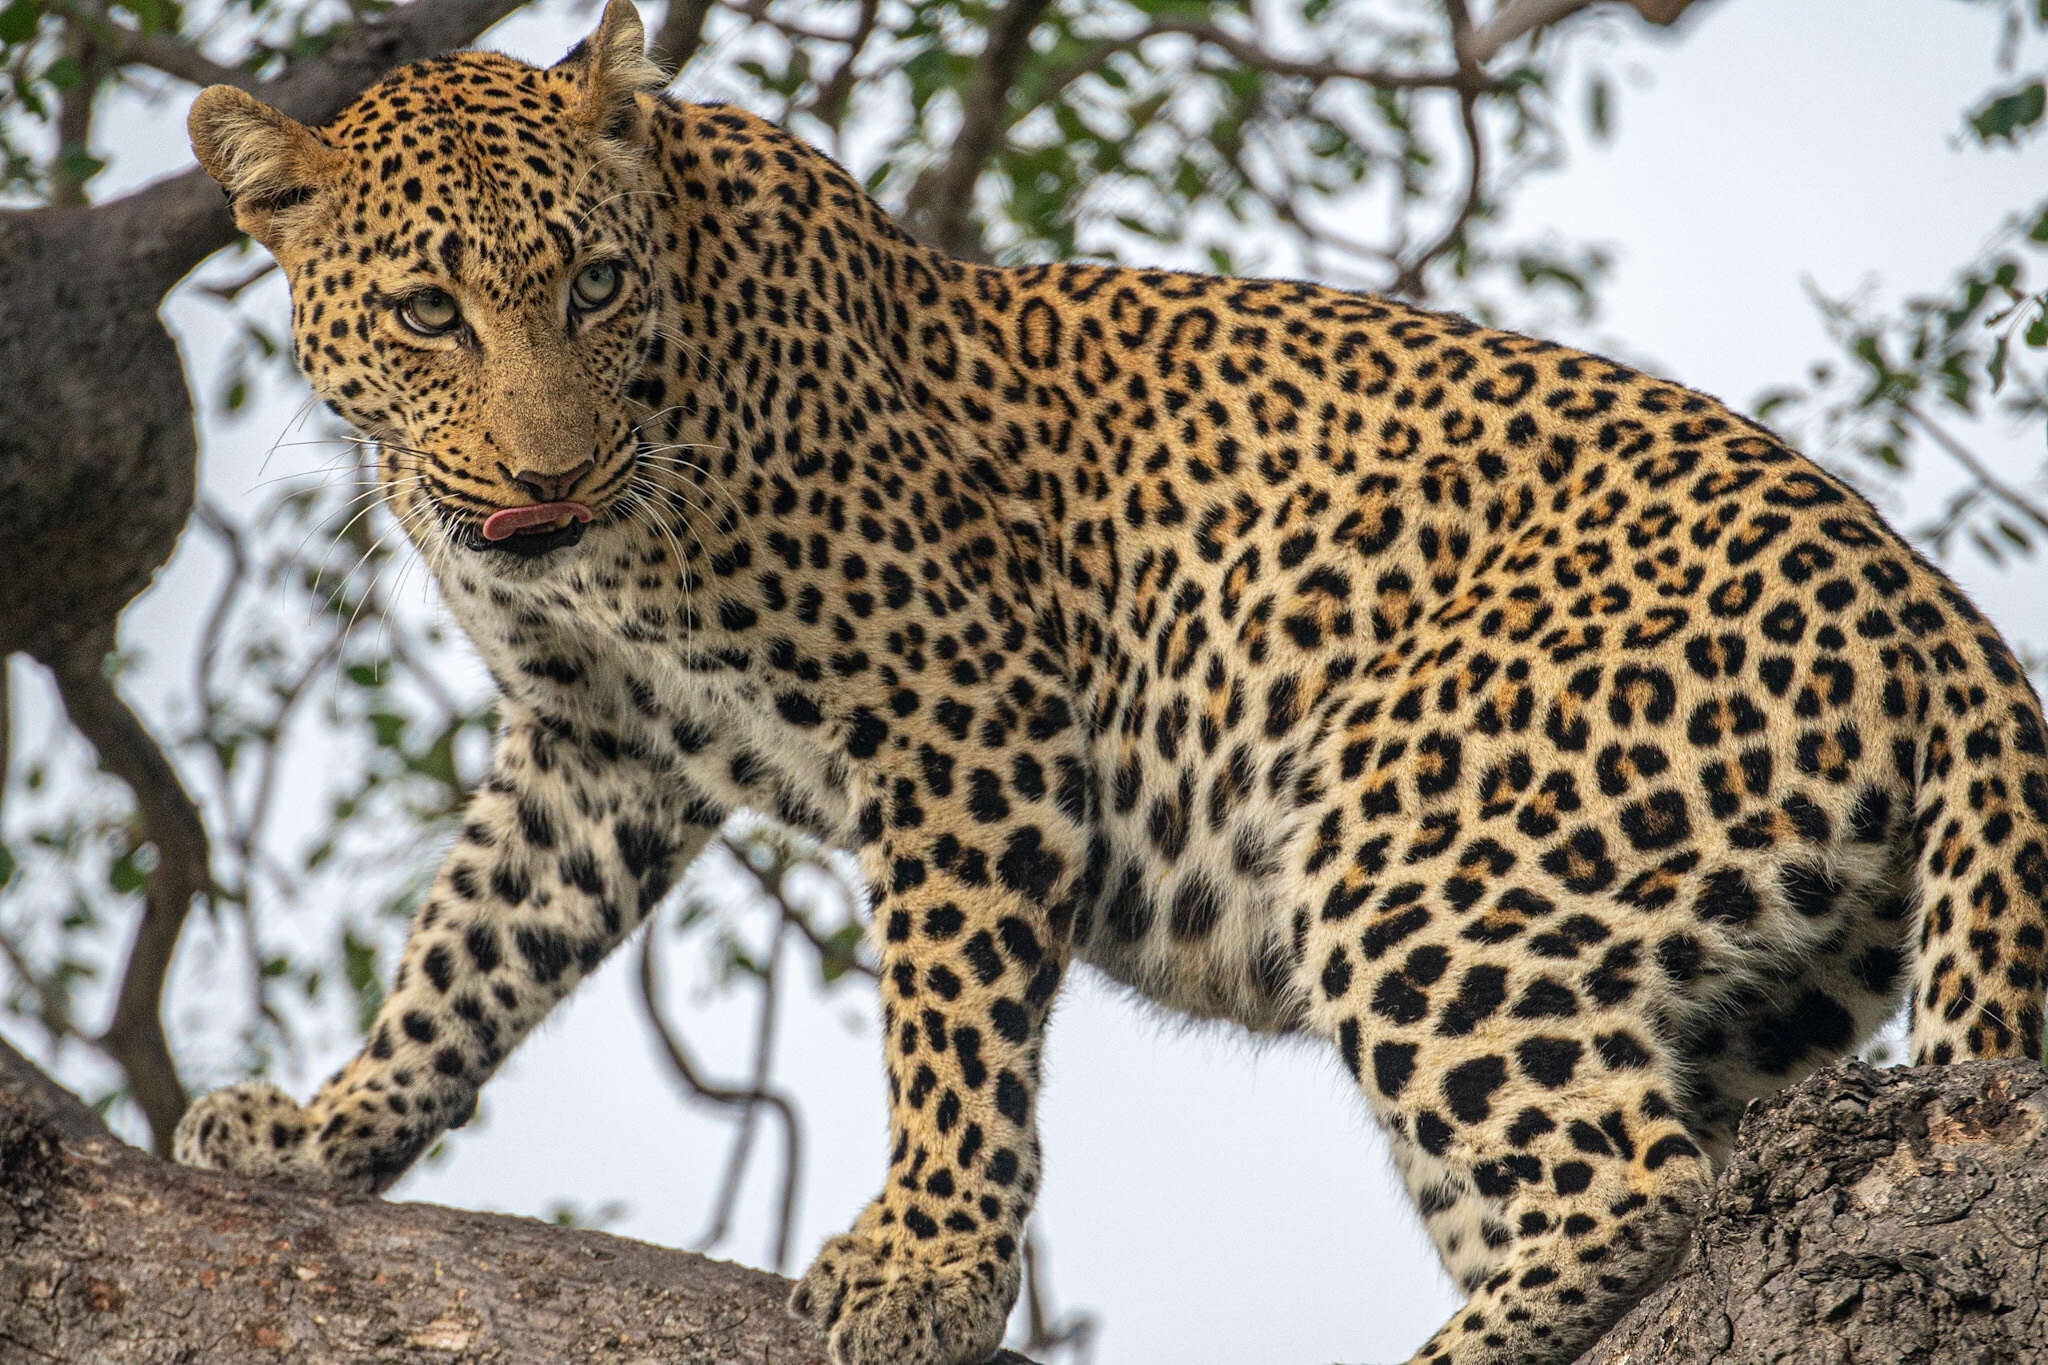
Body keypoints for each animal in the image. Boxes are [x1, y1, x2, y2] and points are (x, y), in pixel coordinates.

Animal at [172, 5, 2048, 1358]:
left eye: (595, 280)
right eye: (429, 310)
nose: (548, 477)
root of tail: (1934, 607)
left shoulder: (962, 710)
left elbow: (947, 1019)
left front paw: (927, 1263)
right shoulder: (596, 745)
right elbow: (471, 949)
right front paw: (325, 1132)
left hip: (1414, 838)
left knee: (1634, 1189)